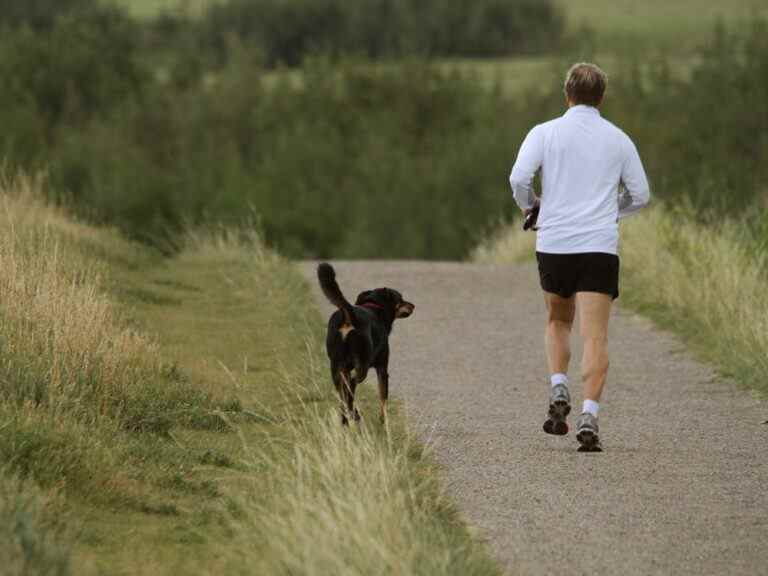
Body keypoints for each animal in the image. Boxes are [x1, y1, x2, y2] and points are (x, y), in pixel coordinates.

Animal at [316, 264, 416, 426]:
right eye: (400, 299)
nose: (413, 305)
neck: (375, 307)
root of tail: (348, 315)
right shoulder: (382, 369)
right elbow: (383, 399)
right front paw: (383, 423)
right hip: (362, 365)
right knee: (351, 385)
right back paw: (354, 415)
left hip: (337, 367)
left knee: (343, 393)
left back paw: (347, 417)